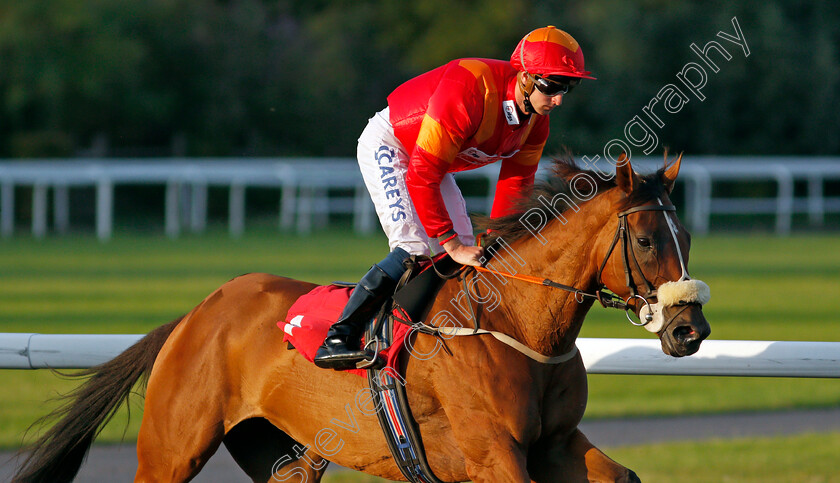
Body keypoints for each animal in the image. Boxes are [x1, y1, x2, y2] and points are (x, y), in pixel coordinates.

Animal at [13, 156, 708, 483]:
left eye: (687, 236)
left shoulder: (556, 444)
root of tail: (194, 315)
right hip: (171, 448)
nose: (689, 329)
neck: (515, 324)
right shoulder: (493, 454)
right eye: (648, 239)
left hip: (281, 455)